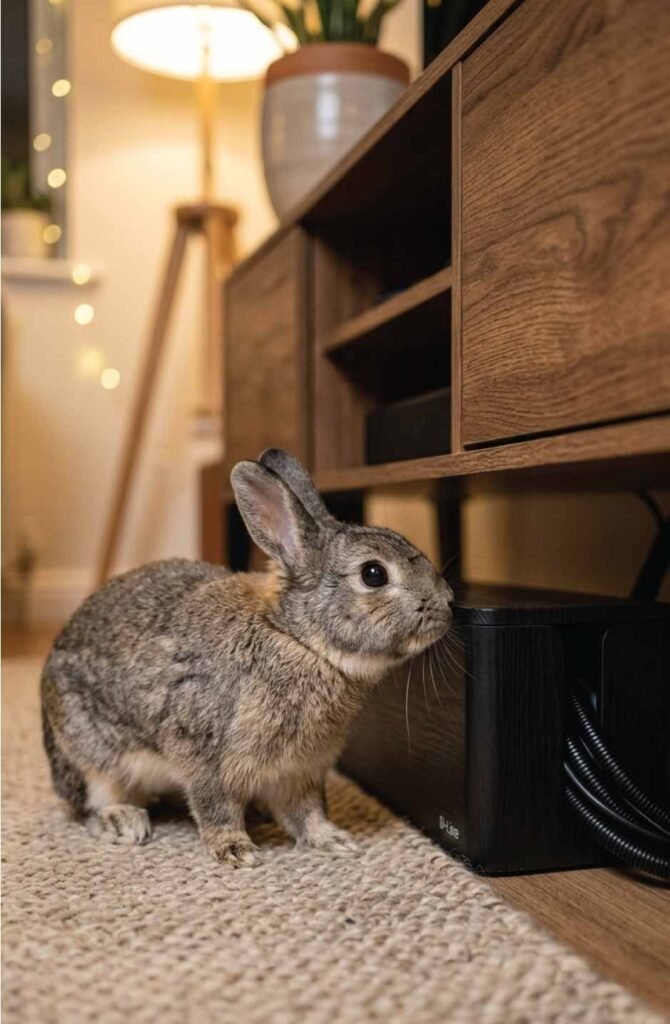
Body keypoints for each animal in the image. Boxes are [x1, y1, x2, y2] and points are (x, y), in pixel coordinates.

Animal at [41, 449, 454, 866]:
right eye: (373, 574)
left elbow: (308, 811)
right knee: (92, 802)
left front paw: (334, 840)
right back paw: (124, 821)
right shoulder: (209, 756)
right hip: (92, 754)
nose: (449, 603)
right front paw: (236, 851)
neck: (299, 639)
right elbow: (215, 806)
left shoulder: (302, 770)